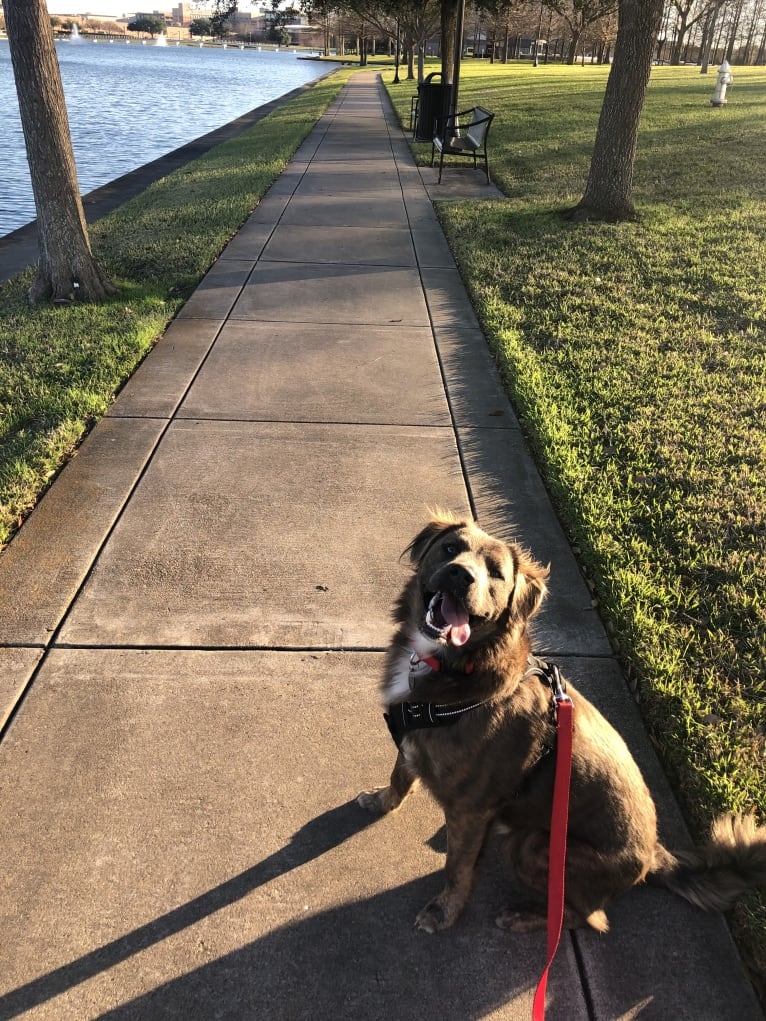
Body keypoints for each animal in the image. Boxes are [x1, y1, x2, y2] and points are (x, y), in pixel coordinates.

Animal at [359, 514, 766, 935]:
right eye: (451, 549)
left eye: (495, 573)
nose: (460, 575)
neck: (456, 665)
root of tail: (654, 856)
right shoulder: (413, 742)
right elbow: (399, 775)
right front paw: (381, 801)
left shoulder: (470, 811)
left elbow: (458, 869)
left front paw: (445, 911)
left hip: (533, 847)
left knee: (587, 917)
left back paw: (525, 916)